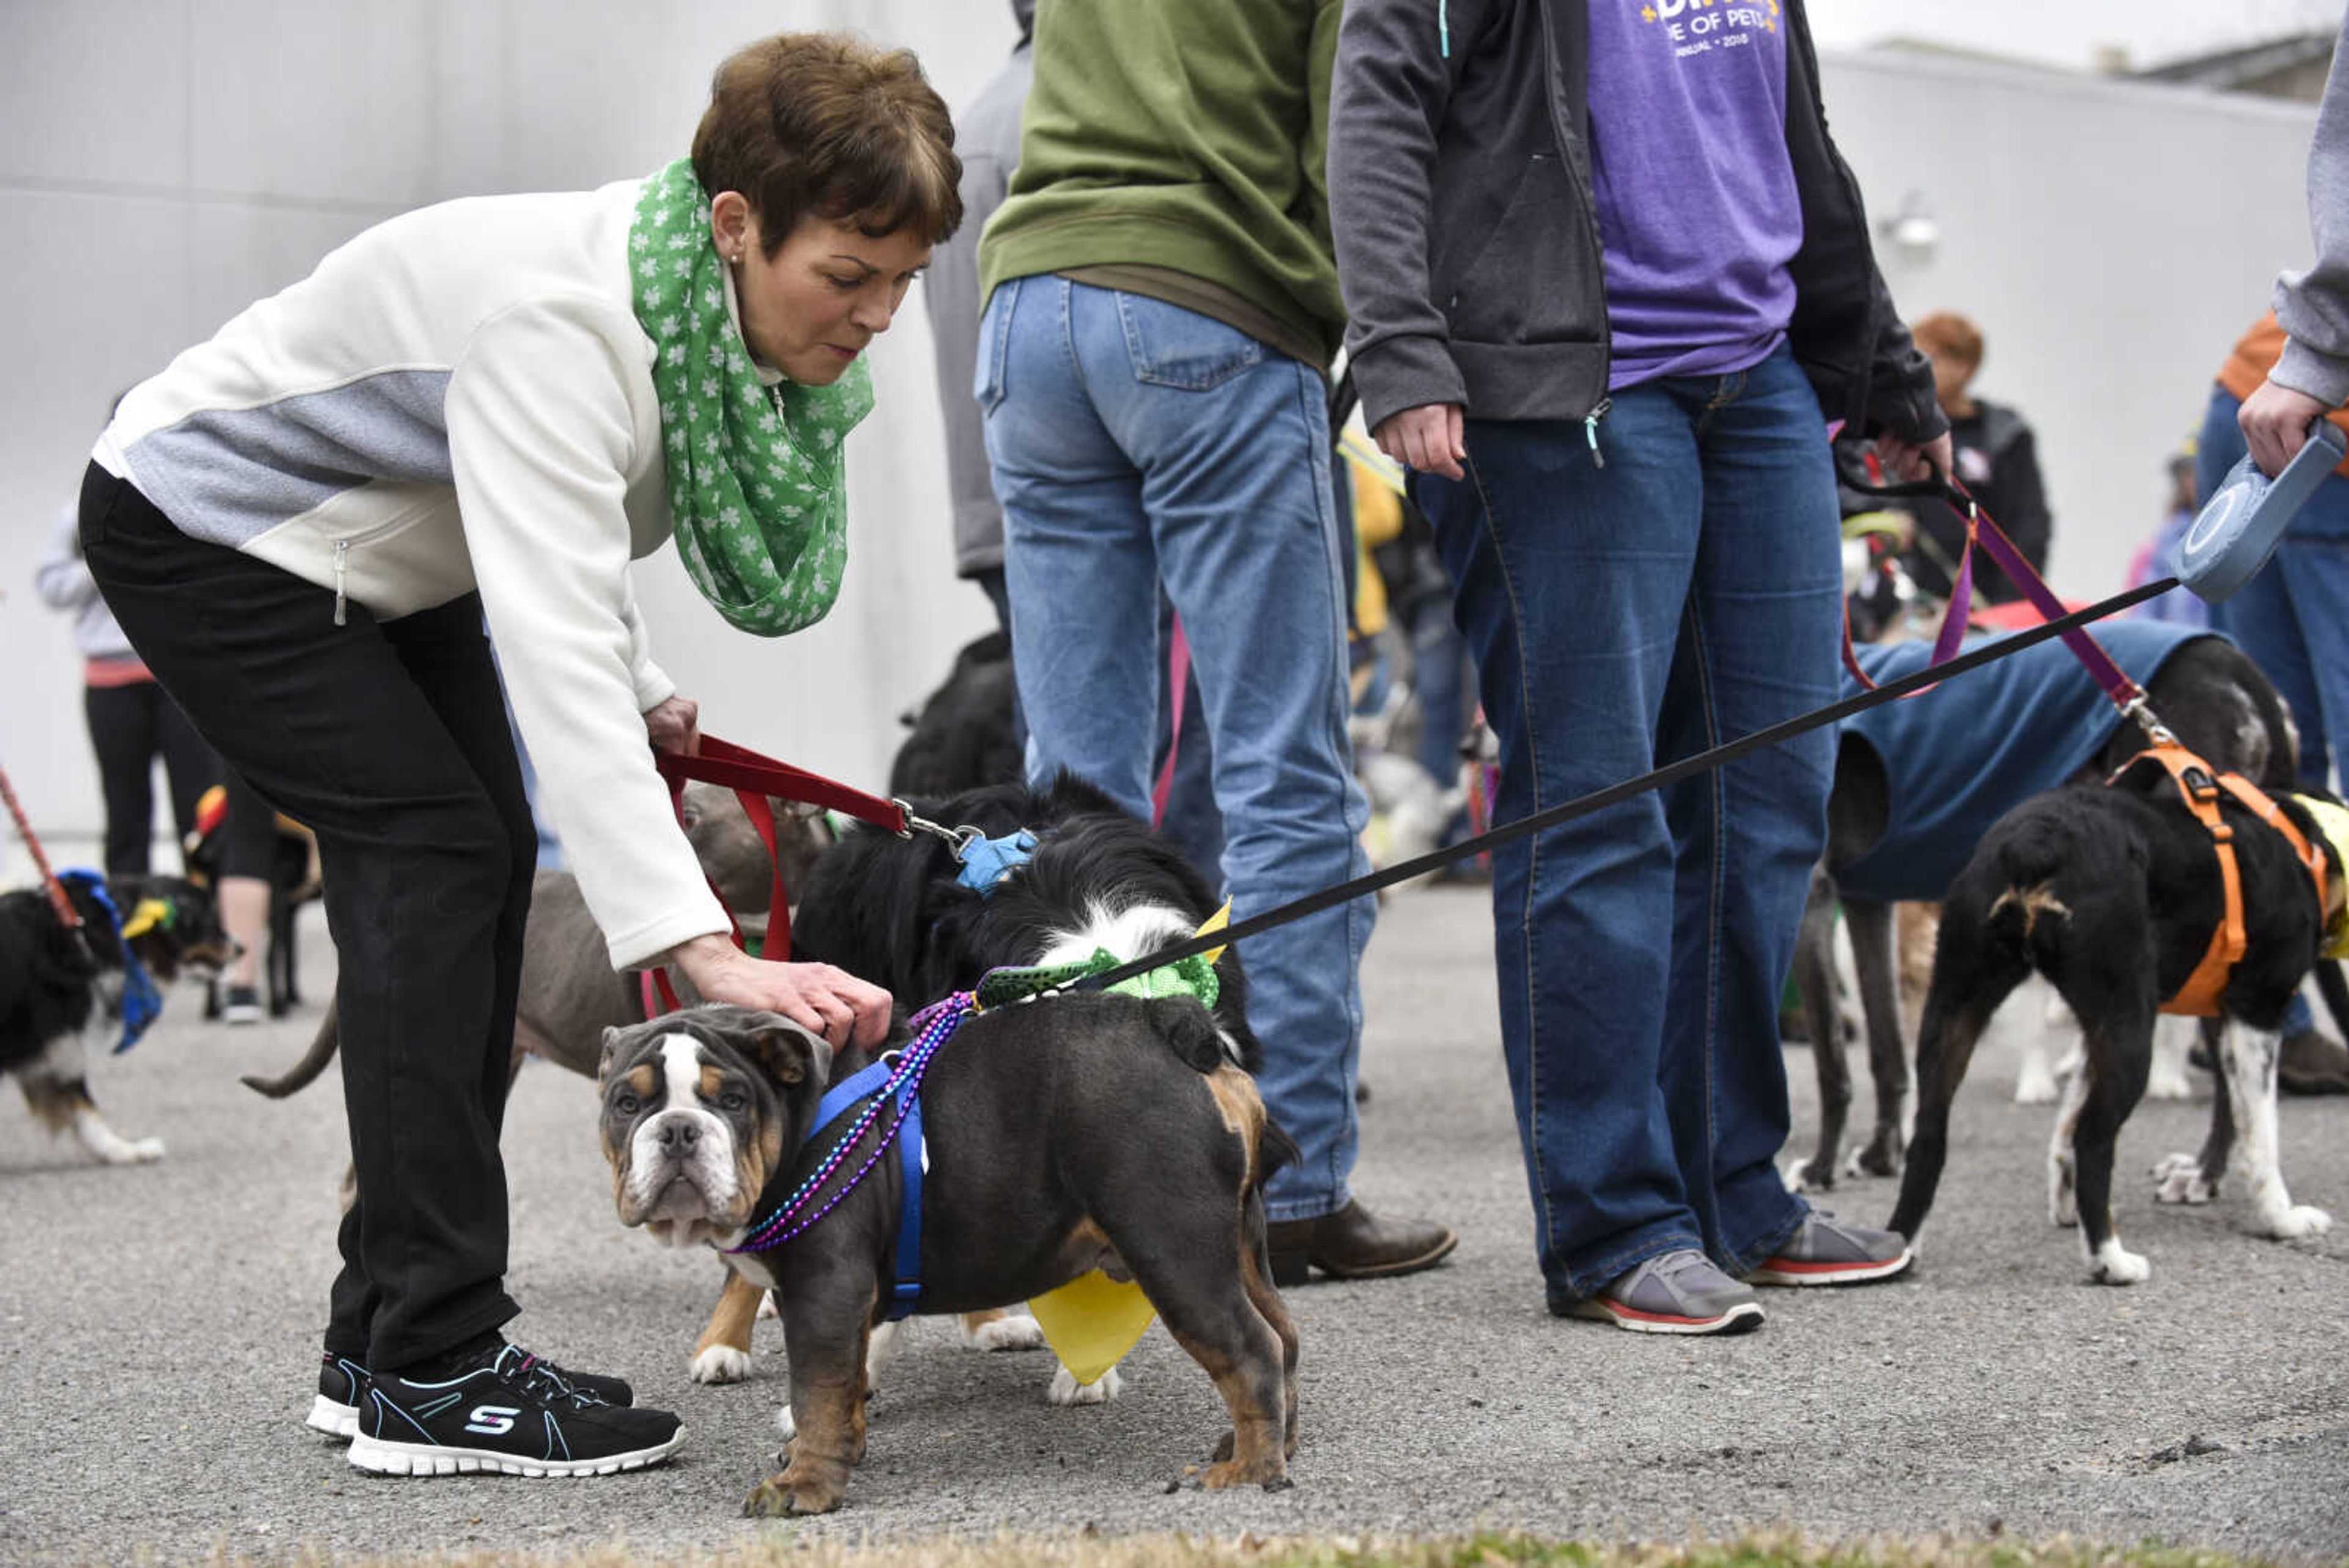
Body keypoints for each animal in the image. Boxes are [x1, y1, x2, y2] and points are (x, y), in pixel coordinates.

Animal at [1, 869, 231, 1165]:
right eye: (211, 919)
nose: (241, 947)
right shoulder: (55, 1039)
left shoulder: (52, 1046)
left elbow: (84, 1111)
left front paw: (123, 1150)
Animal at [596, 1001, 1306, 1514]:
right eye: (626, 1104)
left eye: (732, 1101)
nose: (678, 1129)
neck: (798, 1113)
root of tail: (1172, 1027)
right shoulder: (847, 1303)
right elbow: (846, 1385)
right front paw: (835, 1449)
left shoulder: (824, 1291)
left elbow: (819, 1391)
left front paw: (805, 1486)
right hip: (1240, 1246)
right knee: (1283, 1337)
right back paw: (1275, 1443)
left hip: (1174, 1249)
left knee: (1250, 1349)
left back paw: (1250, 1469)